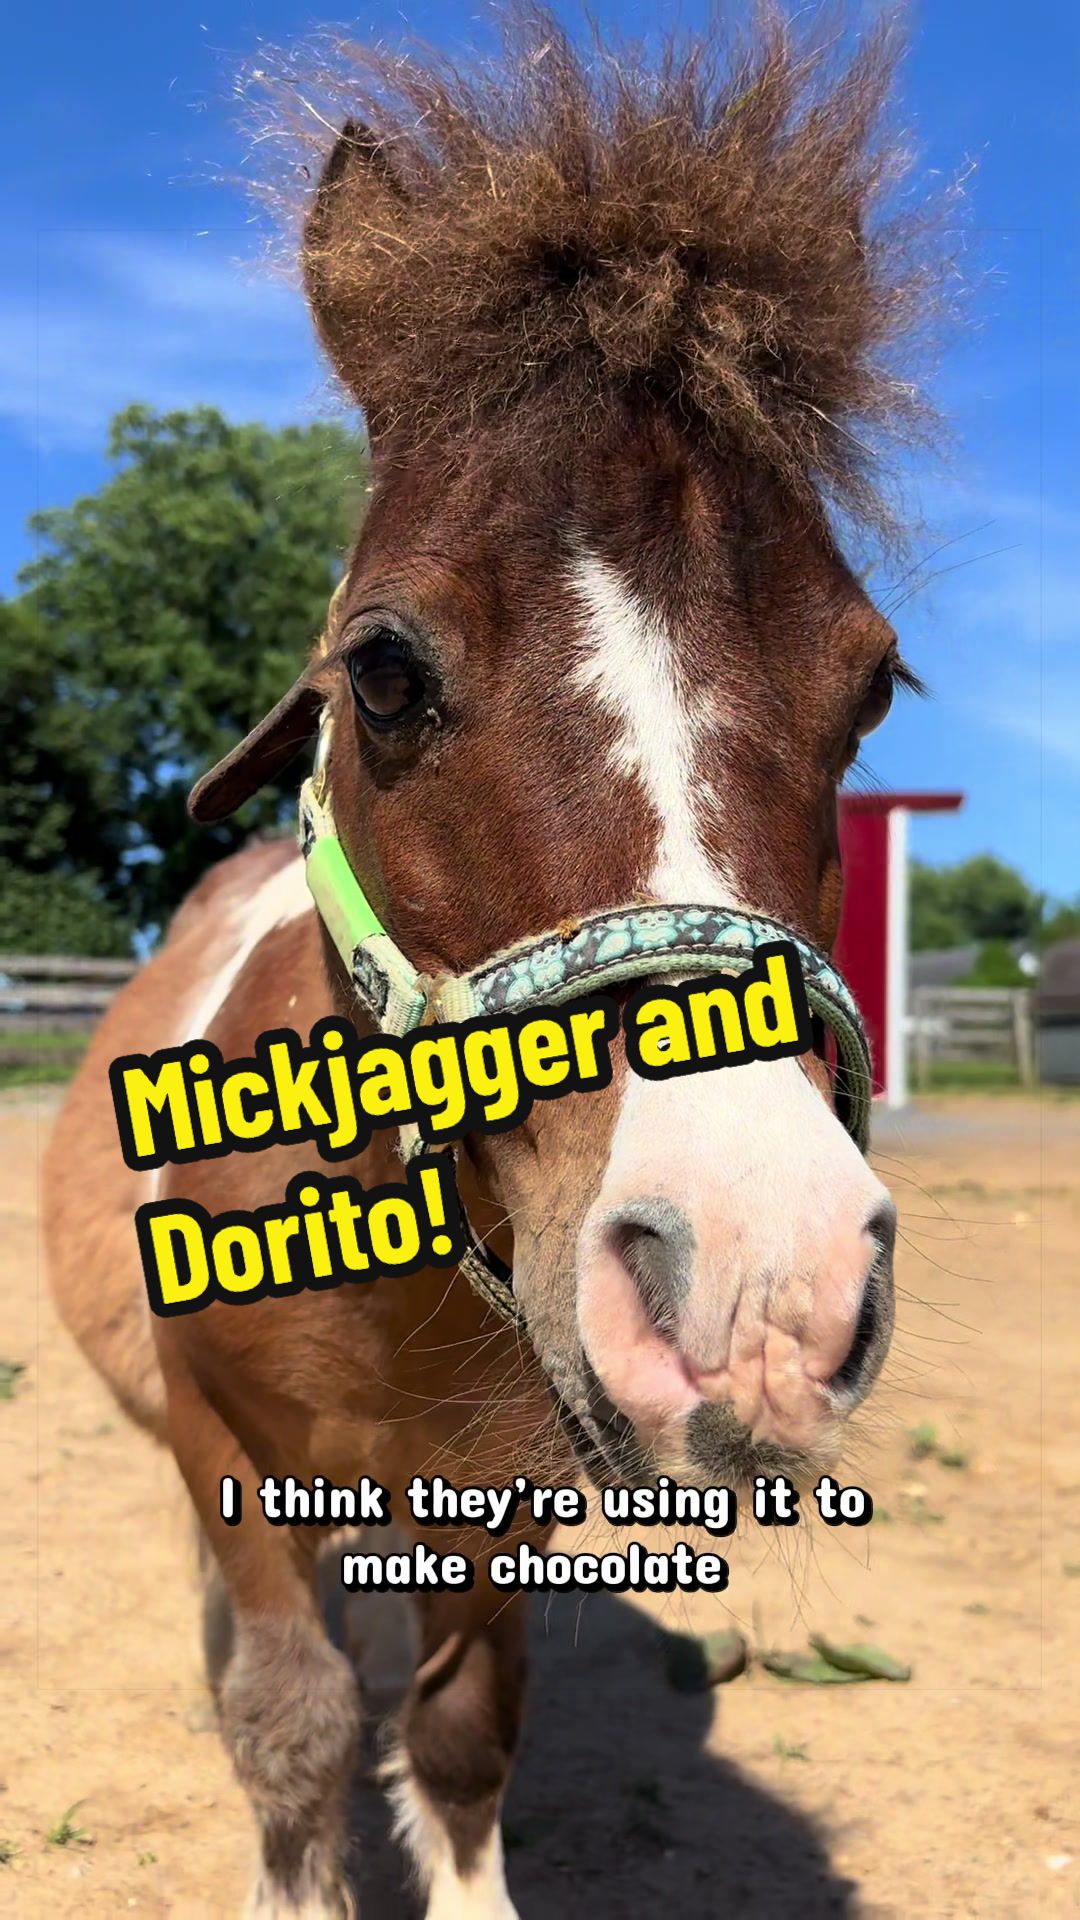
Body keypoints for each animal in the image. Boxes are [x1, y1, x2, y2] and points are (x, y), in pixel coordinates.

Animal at [46, 10, 947, 1915]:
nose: (762, 1289)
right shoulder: (229, 1451)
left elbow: (457, 1736)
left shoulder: (504, 1492)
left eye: (872, 686)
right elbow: (291, 1732)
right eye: (382, 670)